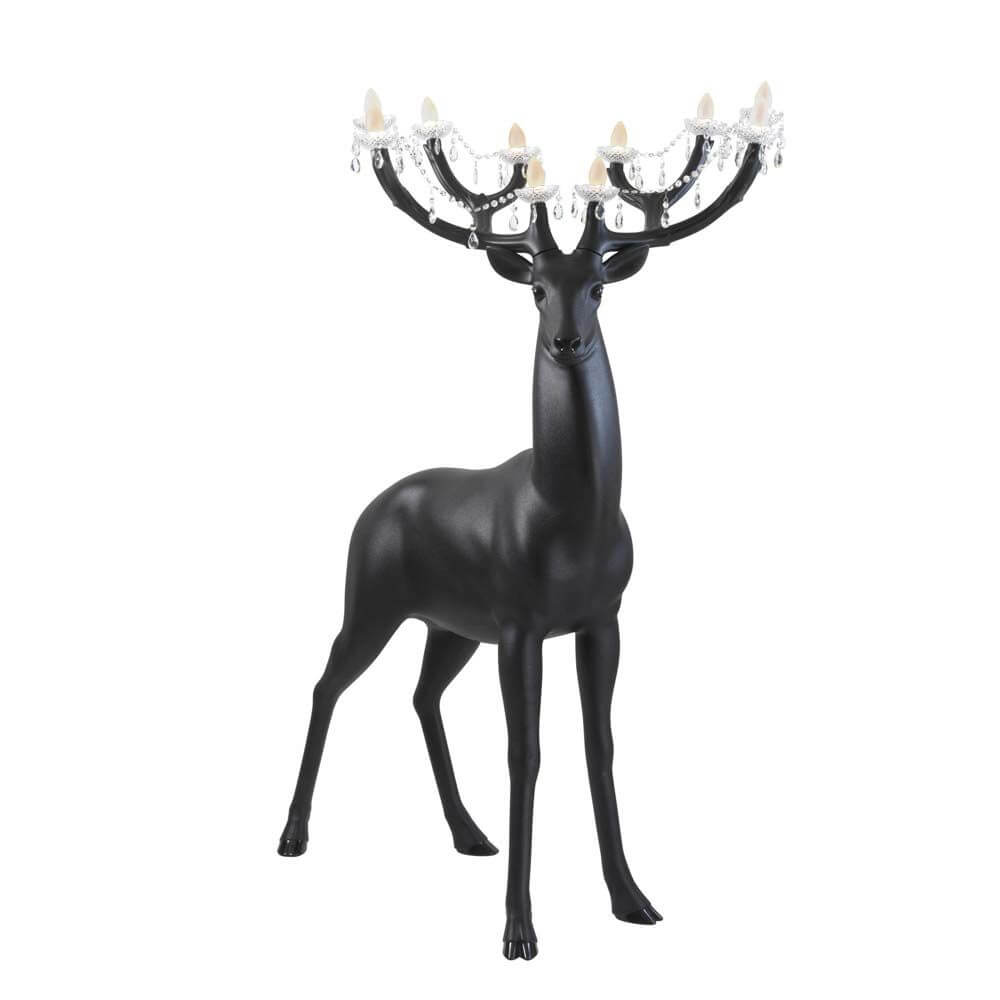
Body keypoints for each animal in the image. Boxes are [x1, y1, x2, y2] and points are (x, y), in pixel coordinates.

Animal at [278, 90, 770, 960]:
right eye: (537, 287)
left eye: (599, 286)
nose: (567, 339)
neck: (570, 515)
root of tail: (374, 505)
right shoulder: (520, 622)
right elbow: (525, 751)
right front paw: (519, 930)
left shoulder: (602, 618)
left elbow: (599, 745)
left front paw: (632, 898)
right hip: (370, 601)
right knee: (325, 682)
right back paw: (293, 834)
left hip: (449, 626)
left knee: (420, 695)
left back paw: (469, 833)